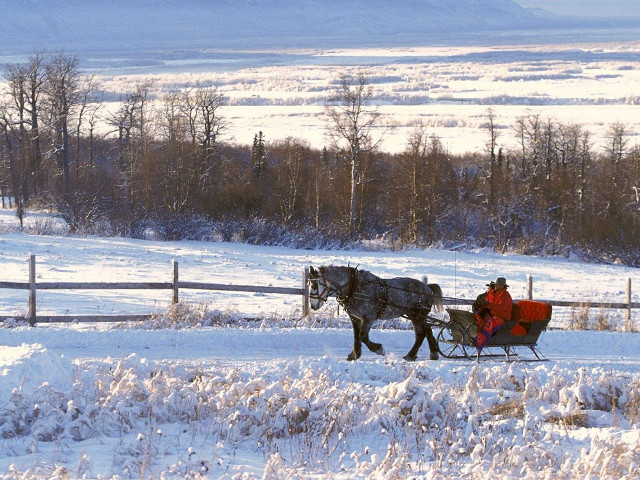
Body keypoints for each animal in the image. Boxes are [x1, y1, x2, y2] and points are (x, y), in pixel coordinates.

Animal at [308, 265, 443, 361]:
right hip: (417, 316)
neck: (355, 287)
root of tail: (428, 288)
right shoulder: (355, 317)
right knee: (427, 330)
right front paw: (354, 355)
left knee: (421, 333)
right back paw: (433, 353)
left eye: (314, 285)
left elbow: (363, 336)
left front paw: (378, 349)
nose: (313, 306)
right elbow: (356, 336)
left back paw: (411, 355)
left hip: (417, 315)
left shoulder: (368, 317)